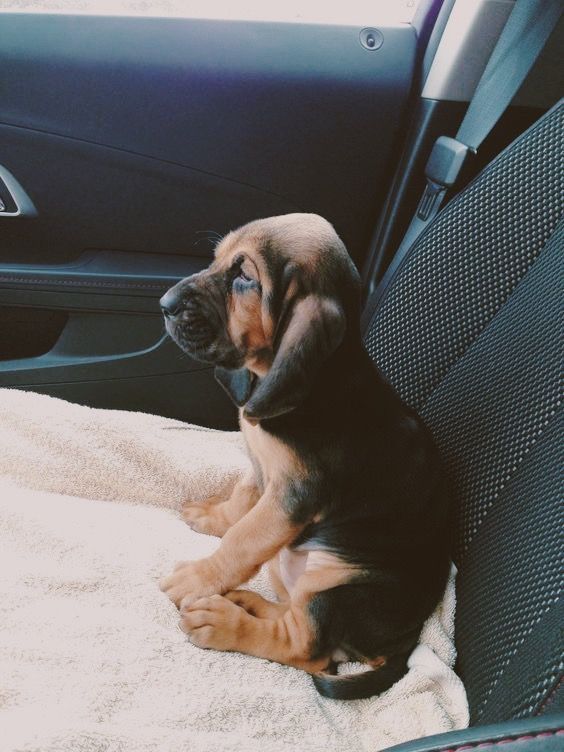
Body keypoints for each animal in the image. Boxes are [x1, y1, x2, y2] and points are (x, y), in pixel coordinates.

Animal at [159, 213, 450, 700]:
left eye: (244, 277)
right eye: (217, 259)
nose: (164, 304)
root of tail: (407, 641)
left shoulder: (292, 499)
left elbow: (243, 540)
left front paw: (198, 578)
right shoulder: (261, 471)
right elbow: (240, 505)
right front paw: (211, 517)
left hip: (337, 586)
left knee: (307, 646)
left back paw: (222, 621)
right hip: (291, 565)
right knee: (292, 613)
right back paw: (246, 601)